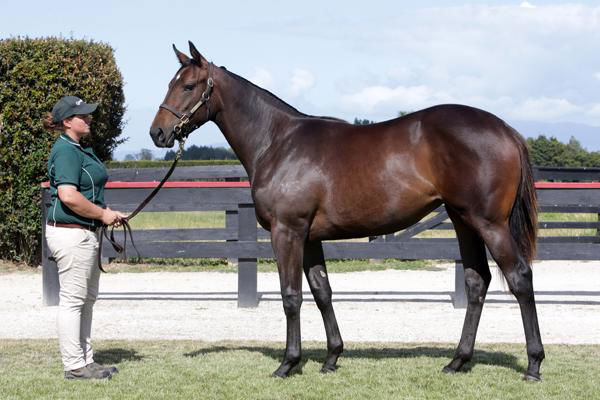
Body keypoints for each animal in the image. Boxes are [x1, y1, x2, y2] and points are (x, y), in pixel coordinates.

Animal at [149, 41, 544, 382]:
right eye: (170, 83)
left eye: (188, 85)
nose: (158, 133)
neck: (278, 142)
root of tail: (506, 129)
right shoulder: (309, 237)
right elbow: (322, 291)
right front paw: (331, 357)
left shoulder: (286, 231)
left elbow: (291, 295)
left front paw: (288, 363)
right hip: (463, 221)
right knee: (477, 282)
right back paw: (457, 361)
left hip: (490, 223)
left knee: (520, 278)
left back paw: (533, 364)